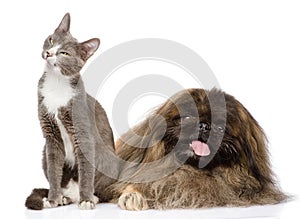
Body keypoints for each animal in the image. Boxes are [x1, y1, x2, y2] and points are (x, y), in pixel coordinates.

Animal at [24, 12, 118, 210]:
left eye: (64, 53)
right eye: (51, 40)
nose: (49, 53)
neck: (56, 84)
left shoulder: (82, 130)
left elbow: (85, 170)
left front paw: (87, 199)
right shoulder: (50, 135)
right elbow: (54, 170)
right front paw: (53, 199)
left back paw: (90, 197)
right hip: (43, 154)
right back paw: (64, 198)